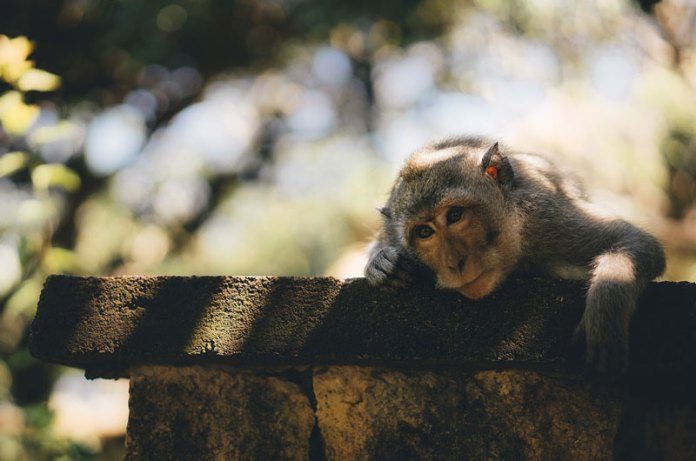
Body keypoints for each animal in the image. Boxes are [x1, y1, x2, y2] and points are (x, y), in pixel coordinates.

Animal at [364, 136, 666, 374]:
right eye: (424, 232)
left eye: (455, 215)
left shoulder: (544, 217)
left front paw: (605, 314)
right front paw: (382, 264)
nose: (454, 263)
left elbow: (634, 240)